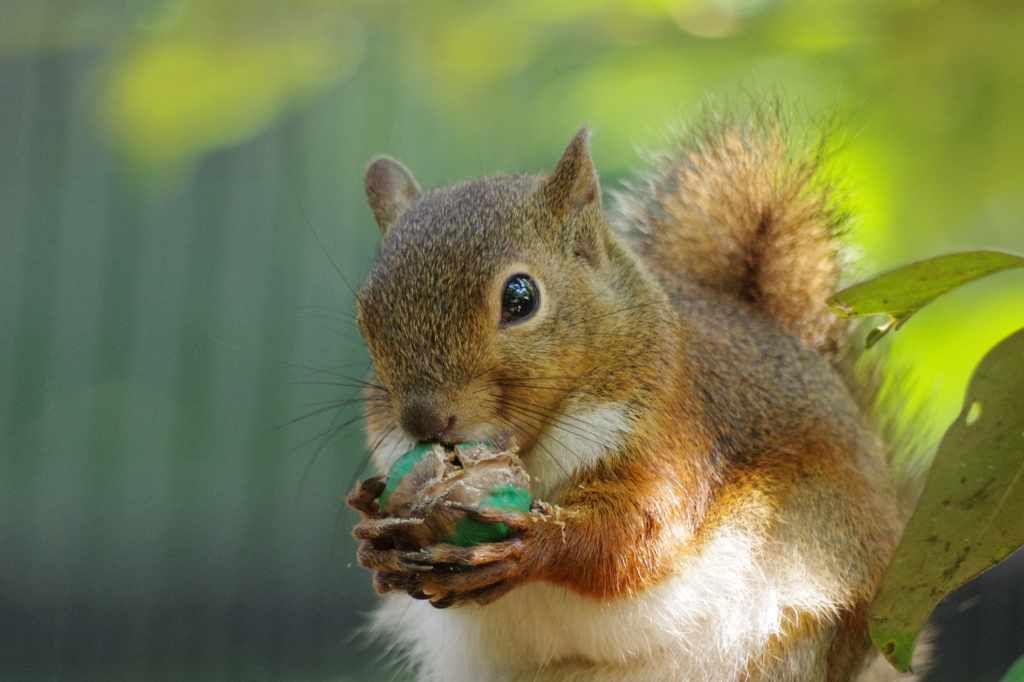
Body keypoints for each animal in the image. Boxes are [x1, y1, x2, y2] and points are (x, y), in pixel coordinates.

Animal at [344, 111, 921, 679]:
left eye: (520, 298)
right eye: (363, 317)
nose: (424, 422)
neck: (536, 448)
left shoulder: (672, 435)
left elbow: (641, 532)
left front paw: (538, 542)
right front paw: (374, 532)